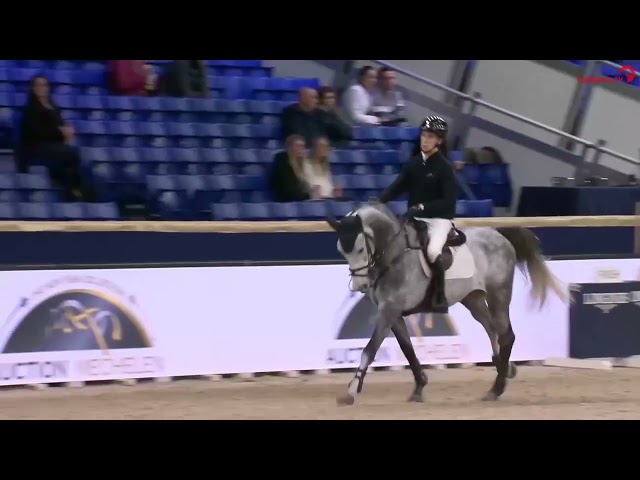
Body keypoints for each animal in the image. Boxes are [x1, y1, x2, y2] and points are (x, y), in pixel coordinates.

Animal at [325, 201, 569, 406]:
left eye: (359, 249)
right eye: (341, 250)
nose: (360, 286)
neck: (394, 255)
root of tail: (499, 235)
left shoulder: (389, 311)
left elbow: (369, 350)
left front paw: (351, 391)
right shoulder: (392, 314)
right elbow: (408, 350)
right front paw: (419, 387)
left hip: (498, 295)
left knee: (506, 335)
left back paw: (496, 388)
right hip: (473, 299)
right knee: (492, 329)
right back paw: (504, 368)